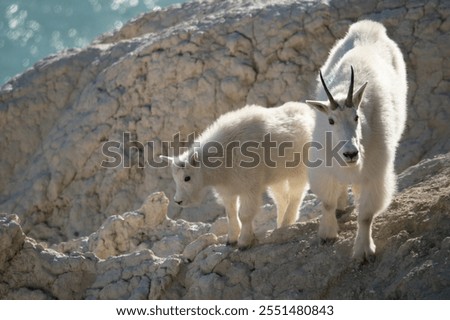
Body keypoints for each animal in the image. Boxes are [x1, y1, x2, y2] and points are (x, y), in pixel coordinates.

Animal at [161, 102, 312, 248]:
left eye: (187, 178)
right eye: (175, 179)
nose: (178, 201)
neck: (225, 156)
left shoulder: (249, 186)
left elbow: (245, 215)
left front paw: (244, 242)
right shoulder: (228, 190)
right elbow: (231, 214)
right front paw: (231, 240)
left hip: (299, 171)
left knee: (296, 195)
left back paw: (287, 222)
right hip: (277, 178)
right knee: (282, 199)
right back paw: (280, 225)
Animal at [306, 19, 408, 260]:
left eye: (357, 117)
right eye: (330, 120)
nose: (351, 153)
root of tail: (369, 27)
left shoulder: (375, 172)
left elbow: (365, 215)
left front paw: (363, 251)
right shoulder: (323, 166)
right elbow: (327, 202)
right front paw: (327, 233)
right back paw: (342, 204)